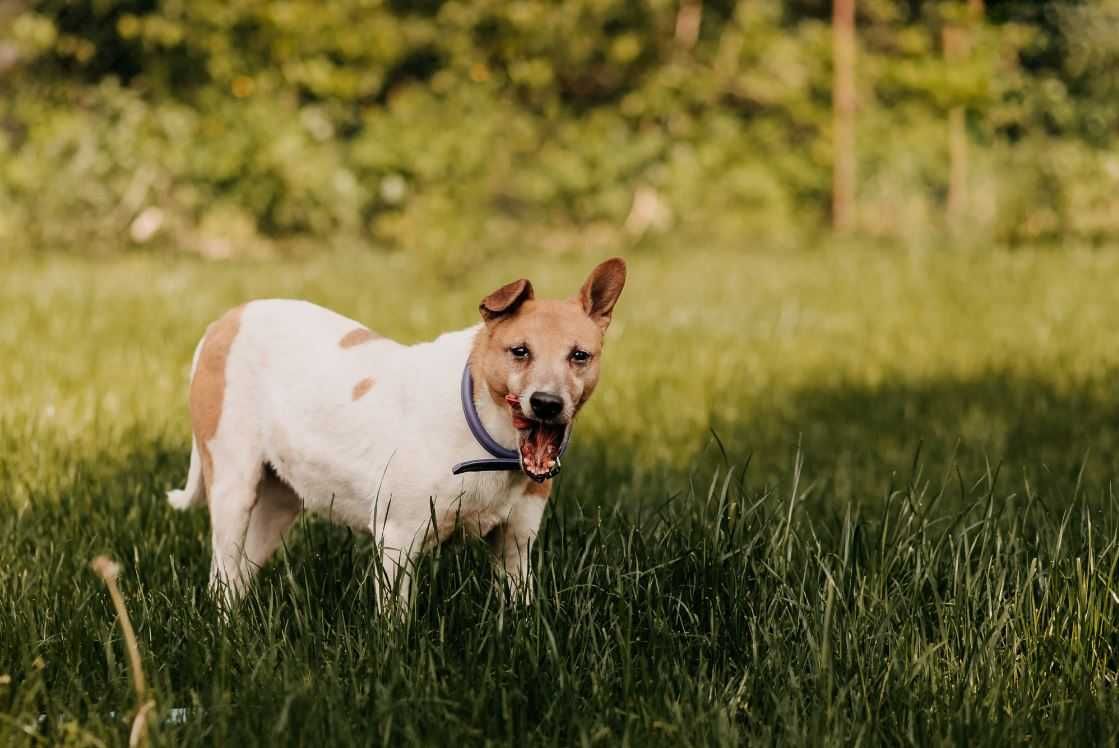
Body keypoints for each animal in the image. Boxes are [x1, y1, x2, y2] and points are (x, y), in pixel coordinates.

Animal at [166, 257, 626, 613]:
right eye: (520, 352)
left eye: (579, 356)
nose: (547, 403)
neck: (485, 432)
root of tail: (224, 321)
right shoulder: (398, 538)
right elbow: (396, 622)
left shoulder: (517, 542)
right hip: (234, 485)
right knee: (222, 571)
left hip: (279, 502)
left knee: (240, 573)